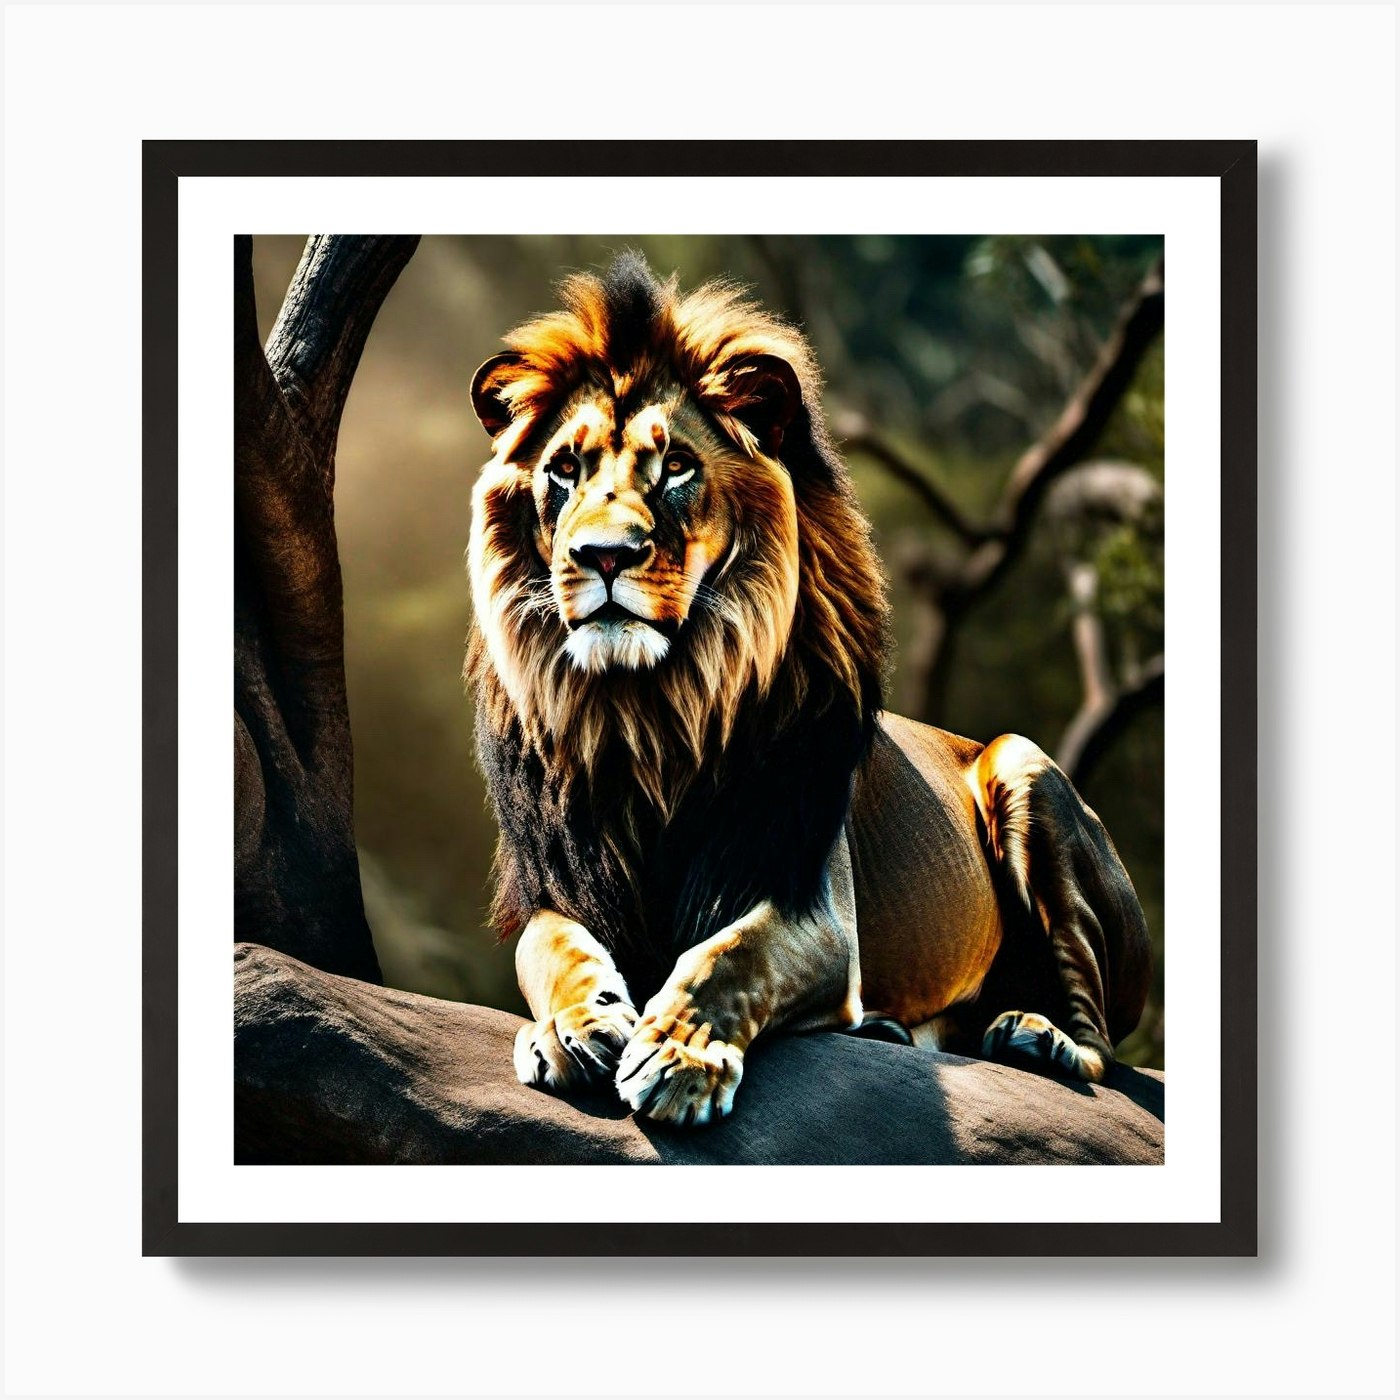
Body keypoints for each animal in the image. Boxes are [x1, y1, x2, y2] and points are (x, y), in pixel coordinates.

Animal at [465, 252, 1151, 1127]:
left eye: (676, 466)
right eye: (563, 469)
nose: (603, 555)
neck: (649, 712)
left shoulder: (812, 907)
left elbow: (726, 957)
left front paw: (680, 1056)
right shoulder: (555, 884)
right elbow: (557, 951)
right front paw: (575, 1024)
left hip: (1024, 767)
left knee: (1102, 1043)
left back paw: (1039, 1037)